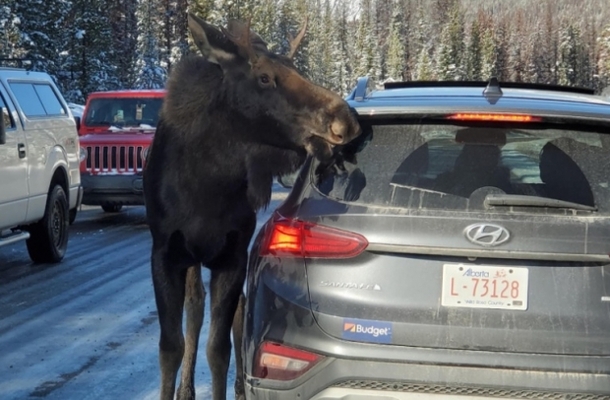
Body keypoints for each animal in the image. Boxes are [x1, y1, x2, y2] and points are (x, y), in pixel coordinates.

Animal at [143, 12, 358, 400]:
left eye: (295, 67)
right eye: (264, 77)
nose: (344, 120)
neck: (207, 186)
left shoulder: (233, 255)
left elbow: (219, 349)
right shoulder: (165, 253)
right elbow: (170, 348)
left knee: (232, 312)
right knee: (195, 307)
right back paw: (187, 389)